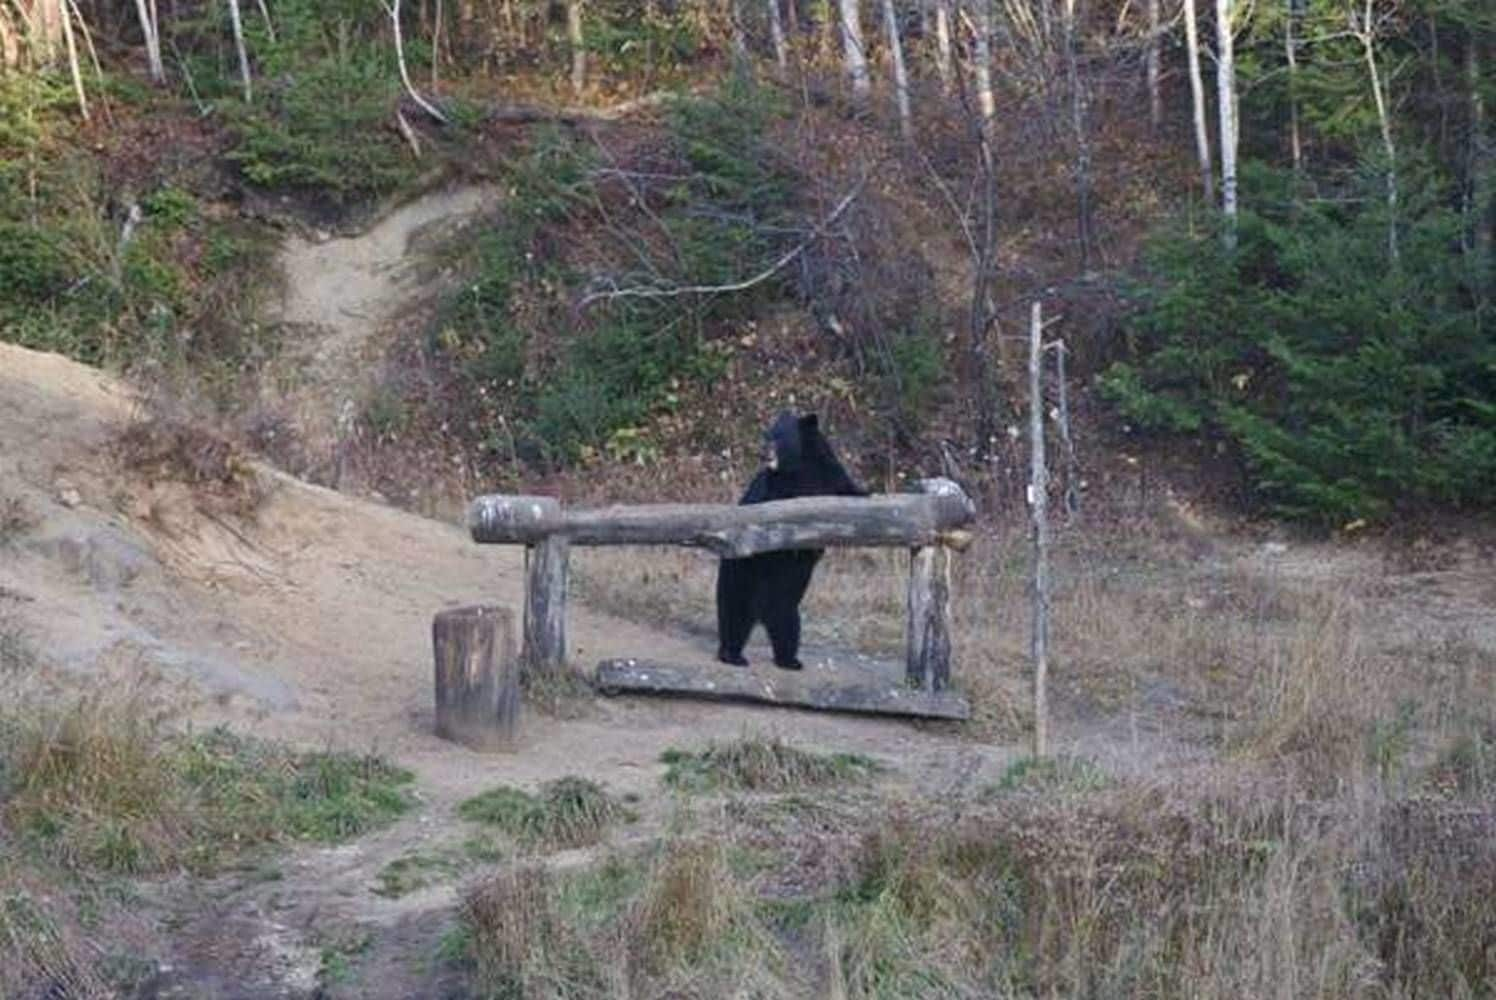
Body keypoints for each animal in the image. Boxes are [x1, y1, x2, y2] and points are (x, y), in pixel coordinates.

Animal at [718, 410, 873, 667]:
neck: (800, 465)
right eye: (767, 435)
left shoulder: (828, 473)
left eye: (778, 437)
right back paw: (732, 654)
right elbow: (774, 503)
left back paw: (789, 659)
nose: (764, 453)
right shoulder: (776, 485)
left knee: (786, 621)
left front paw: (867, 494)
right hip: (743, 571)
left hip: (787, 589)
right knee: (735, 610)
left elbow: (846, 490)